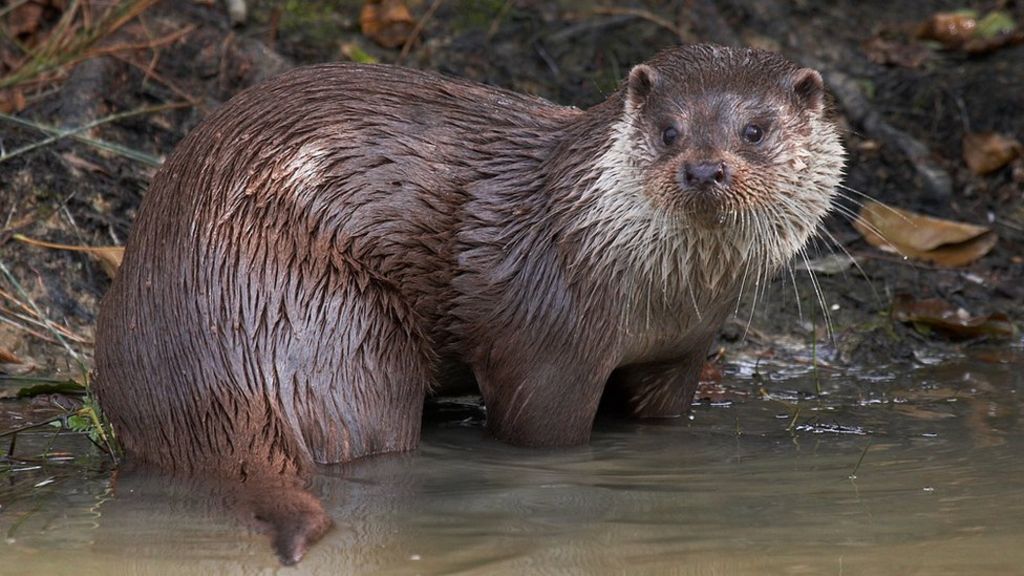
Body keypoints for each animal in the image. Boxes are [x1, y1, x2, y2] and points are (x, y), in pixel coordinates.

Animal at [94, 44, 844, 563]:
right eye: (669, 131)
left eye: (755, 131)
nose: (705, 168)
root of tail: (206, 370)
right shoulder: (548, 339)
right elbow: (541, 432)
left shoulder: (682, 354)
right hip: (332, 325)